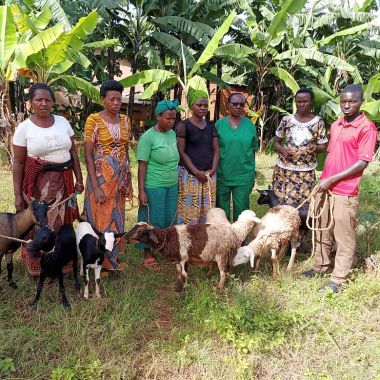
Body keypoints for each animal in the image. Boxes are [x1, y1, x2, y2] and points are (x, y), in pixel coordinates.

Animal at [124, 211, 262, 290]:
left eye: (140, 231)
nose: (124, 236)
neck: (166, 238)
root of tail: (233, 234)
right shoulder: (177, 259)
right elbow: (178, 272)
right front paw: (178, 285)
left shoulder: (184, 258)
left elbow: (184, 274)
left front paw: (184, 288)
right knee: (225, 270)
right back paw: (208, 275)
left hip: (222, 255)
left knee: (223, 273)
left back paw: (219, 288)